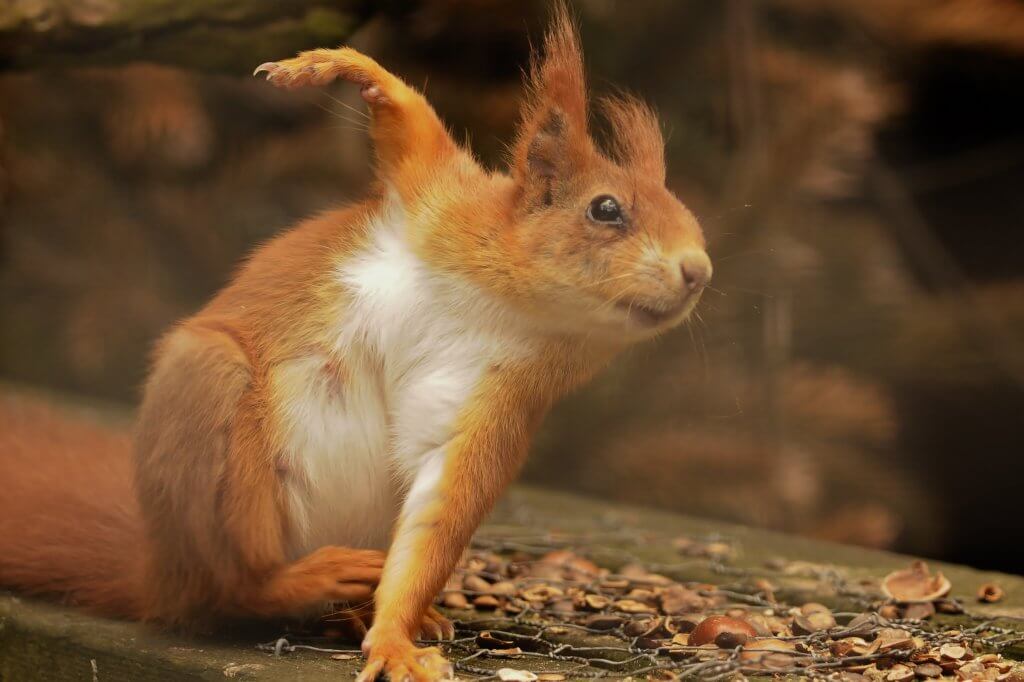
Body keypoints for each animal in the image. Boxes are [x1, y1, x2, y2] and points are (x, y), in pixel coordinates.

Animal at [0, 6, 708, 679]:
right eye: (606, 209)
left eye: (689, 216)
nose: (699, 269)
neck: (511, 308)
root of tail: (158, 574)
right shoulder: (437, 200)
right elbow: (412, 129)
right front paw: (334, 65)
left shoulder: (498, 405)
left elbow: (439, 515)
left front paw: (395, 634)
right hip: (212, 411)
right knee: (227, 591)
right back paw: (301, 581)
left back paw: (367, 612)